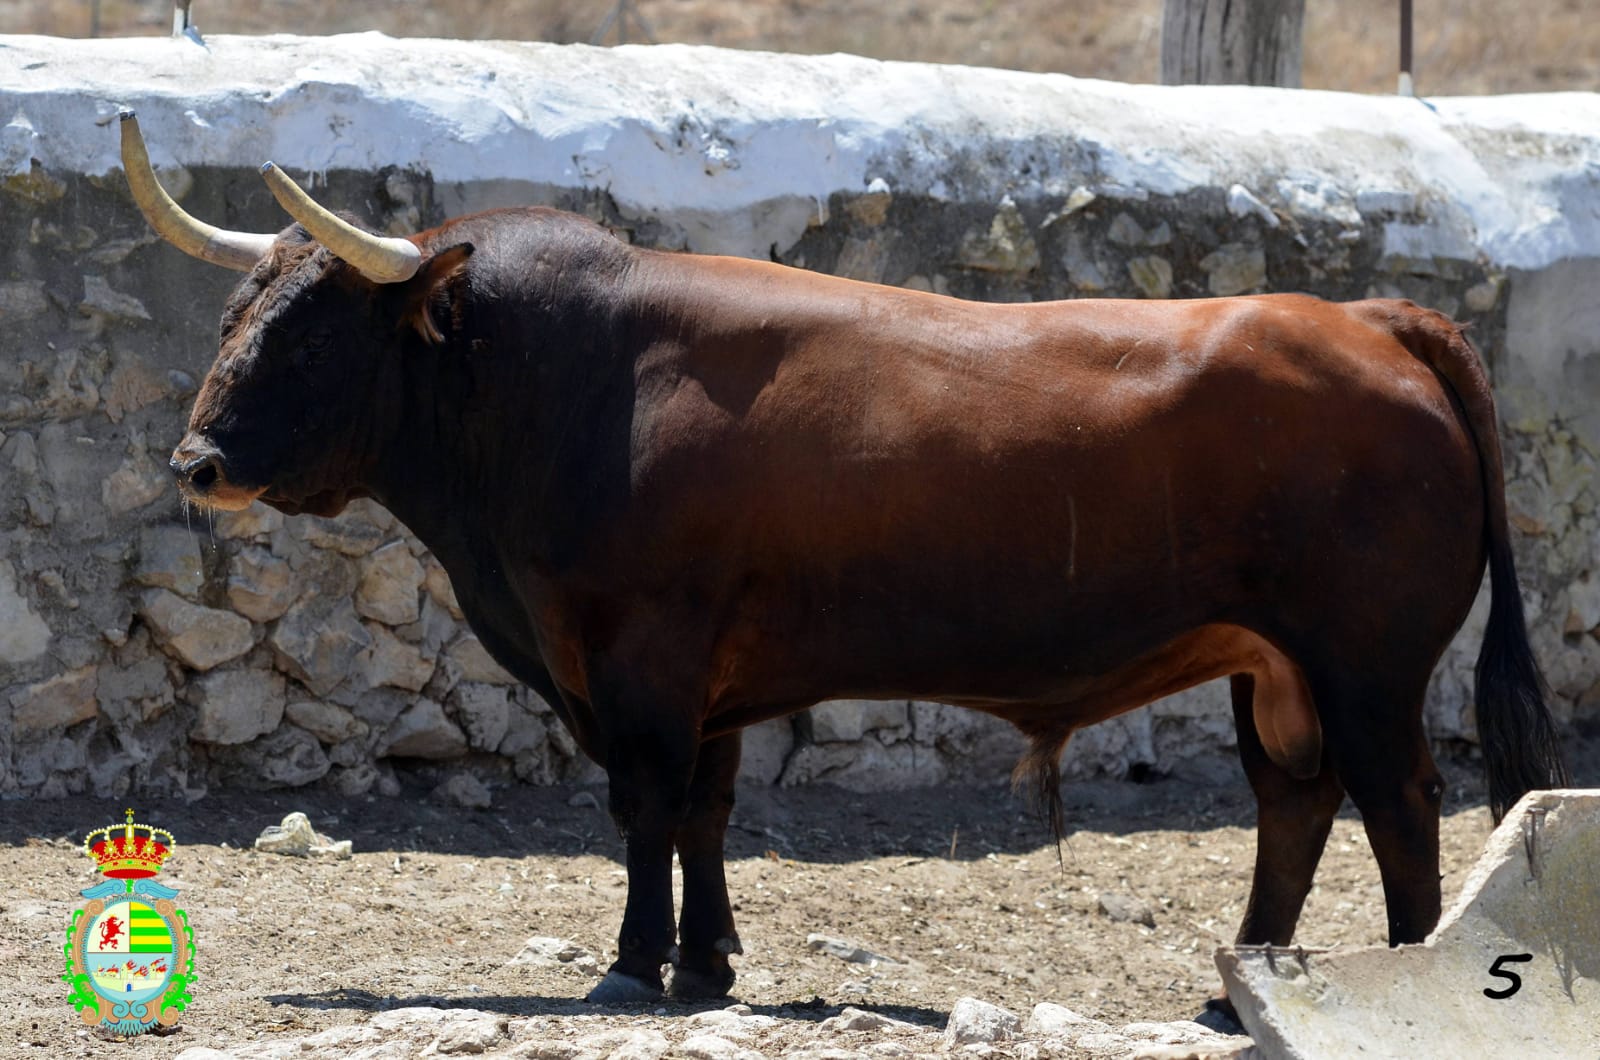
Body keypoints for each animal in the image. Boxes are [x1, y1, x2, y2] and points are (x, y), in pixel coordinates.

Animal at [118, 112, 1568, 1011]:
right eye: (238, 310)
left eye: (313, 332)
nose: (197, 462)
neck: (571, 382)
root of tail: (1363, 317)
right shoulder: (698, 675)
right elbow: (702, 815)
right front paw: (706, 963)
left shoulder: (641, 660)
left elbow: (644, 808)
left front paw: (634, 966)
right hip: (1273, 665)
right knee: (1293, 803)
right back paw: (1251, 983)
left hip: (1365, 662)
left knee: (1398, 808)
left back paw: (1391, 984)